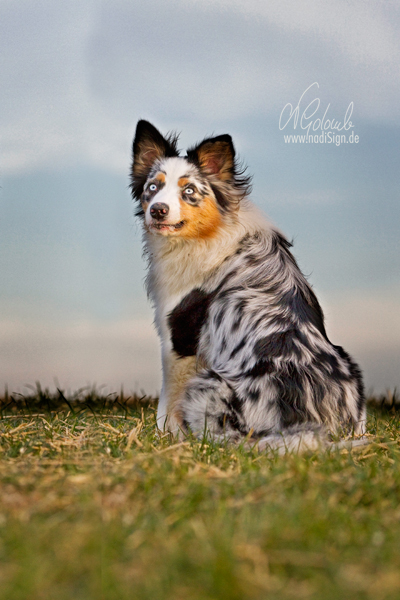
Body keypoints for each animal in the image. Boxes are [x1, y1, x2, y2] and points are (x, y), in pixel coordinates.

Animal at [130, 120, 366, 450]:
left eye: (189, 190)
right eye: (153, 187)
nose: (158, 210)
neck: (210, 234)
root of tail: (314, 426)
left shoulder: (178, 338)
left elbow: (167, 401)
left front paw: (165, 436)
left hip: (209, 386)